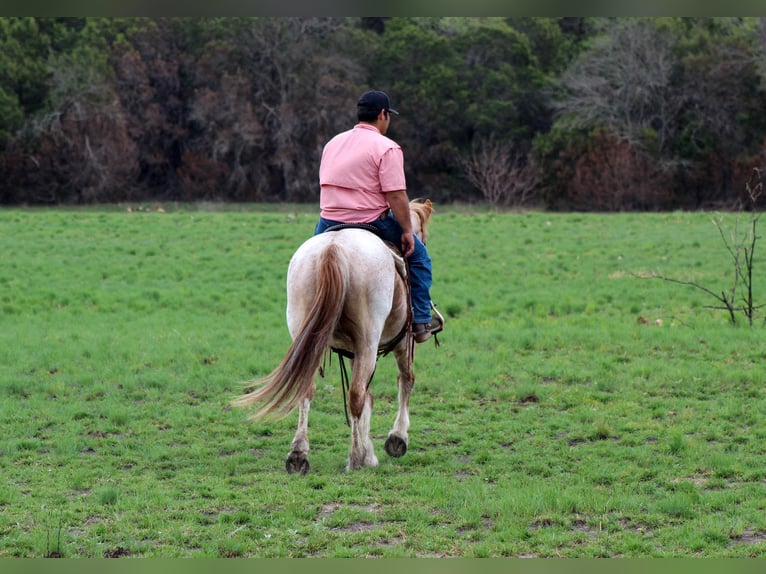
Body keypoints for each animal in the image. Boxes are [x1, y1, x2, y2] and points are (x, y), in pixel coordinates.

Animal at [233, 199, 436, 473]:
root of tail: (334, 248)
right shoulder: (402, 341)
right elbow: (404, 380)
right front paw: (396, 439)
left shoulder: (352, 351)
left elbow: (369, 397)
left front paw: (371, 448)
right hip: (369, 342)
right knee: (357, 393)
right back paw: (356, 457)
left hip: (308, 337)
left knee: (308, 390)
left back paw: (299, 454)